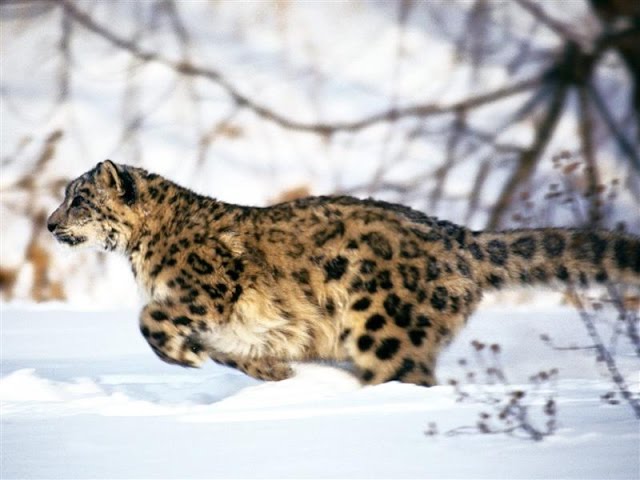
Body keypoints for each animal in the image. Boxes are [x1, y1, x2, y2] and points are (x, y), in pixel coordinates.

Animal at [47, 160, 640, 386]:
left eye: (79, 198)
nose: (51, 223)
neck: (141, 254)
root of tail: (459, 237)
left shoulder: (205, 291)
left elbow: (151, 318)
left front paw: (182, 354)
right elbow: (238, 351)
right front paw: (273, 374)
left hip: (384, 330)